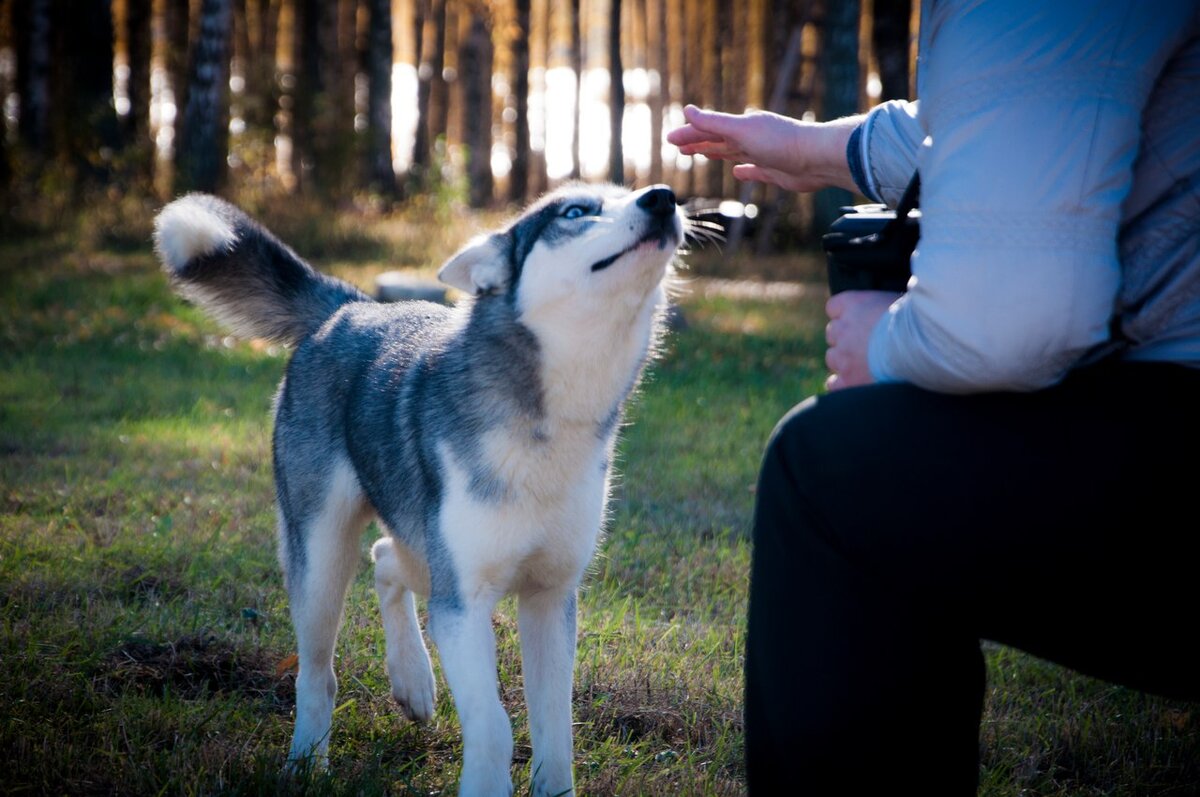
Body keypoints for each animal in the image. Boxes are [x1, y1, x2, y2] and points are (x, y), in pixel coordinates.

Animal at [154, 183, 686, 792]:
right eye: (576, 212)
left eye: (631, 191)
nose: (663, 198)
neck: (549, 422)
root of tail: (350, 306)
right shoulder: (462, 604)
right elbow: (495, 727)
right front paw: (485, 782)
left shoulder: (550, 599)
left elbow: (556, 730)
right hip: (323, 555)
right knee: (317, 671)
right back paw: (307, 762)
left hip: (421, 547)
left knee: (385, 556)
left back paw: (411, 680)